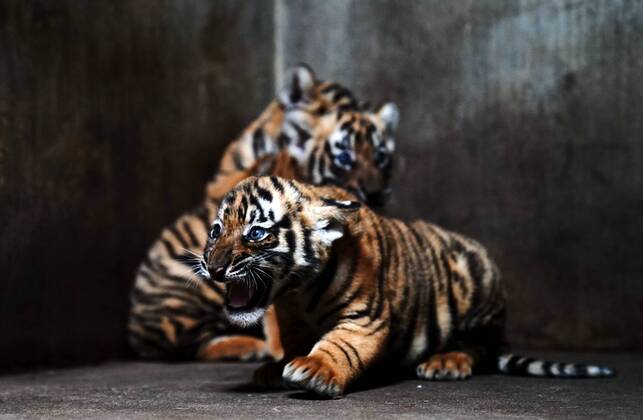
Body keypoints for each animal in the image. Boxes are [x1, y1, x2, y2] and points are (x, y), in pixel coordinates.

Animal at [128, 64, 400, 362]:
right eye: (343, 158)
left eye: (381, 157)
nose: (377, 194)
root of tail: (135, 332)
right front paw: (282, 348)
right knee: (193, 344)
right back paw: (249, 347)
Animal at [200, 176, 615, 398]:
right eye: (216, 231)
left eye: (256, 233)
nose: (214, 267)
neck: (298, 293)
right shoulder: (293, 320)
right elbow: (295, 341)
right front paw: (276, 366)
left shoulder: (366, 318)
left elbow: (341, 344)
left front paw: (315, 369)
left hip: (477, 282)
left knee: (477, 345)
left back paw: (446, 362)